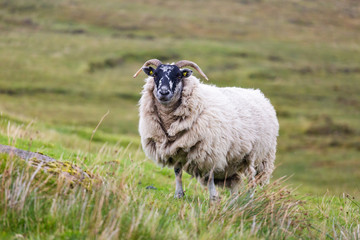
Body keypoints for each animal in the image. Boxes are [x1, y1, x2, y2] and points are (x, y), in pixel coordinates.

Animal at [132, 58, 278, 201]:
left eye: (178, 76)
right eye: (155, 74)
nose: (163, 92)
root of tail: (259, 94)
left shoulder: (209, 152)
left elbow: (209, 177)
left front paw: (213, 197)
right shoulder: (175, 149)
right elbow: (177, 171)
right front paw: (178, 194)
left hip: (259, 156)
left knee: (252, 179)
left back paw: (249, 199)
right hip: (234, 162)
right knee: (235, 182)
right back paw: (234, 201)